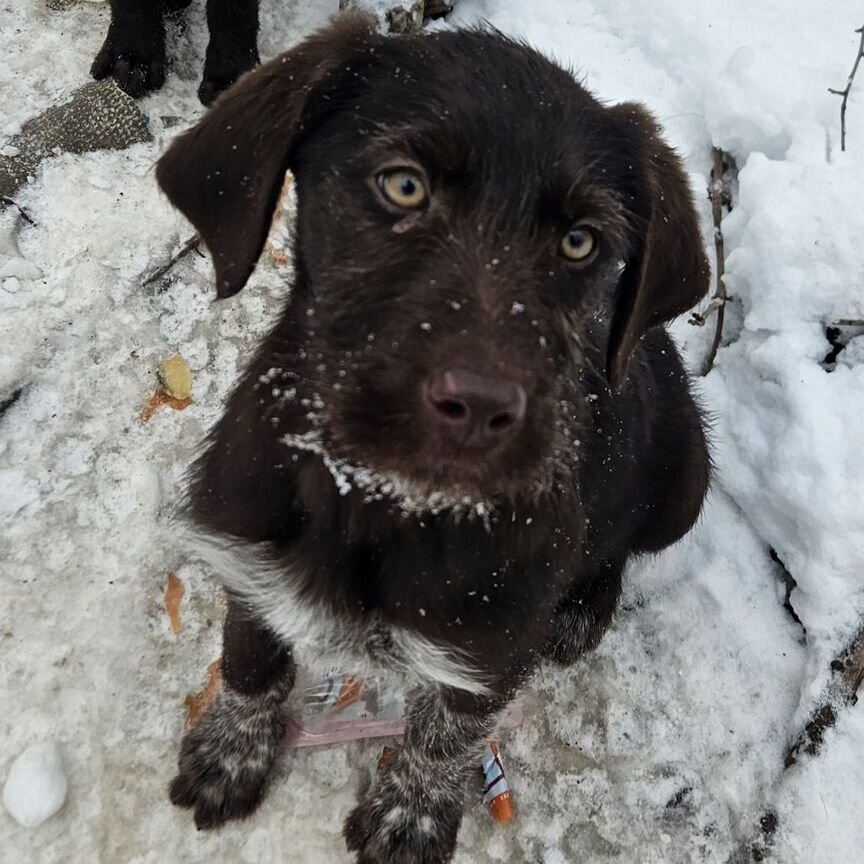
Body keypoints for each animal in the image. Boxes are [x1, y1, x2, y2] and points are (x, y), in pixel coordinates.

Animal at [155, 13, 708, 864]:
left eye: (581, 242)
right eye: (403, 185)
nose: (479, 407)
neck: (376, 500)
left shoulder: (484, 653)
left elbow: (444, 738)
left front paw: (408, 817)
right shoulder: (246, 557)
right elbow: (248, 659)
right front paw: (230, 751)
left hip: (686, 483)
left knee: (619, 547)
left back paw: (582, 608)